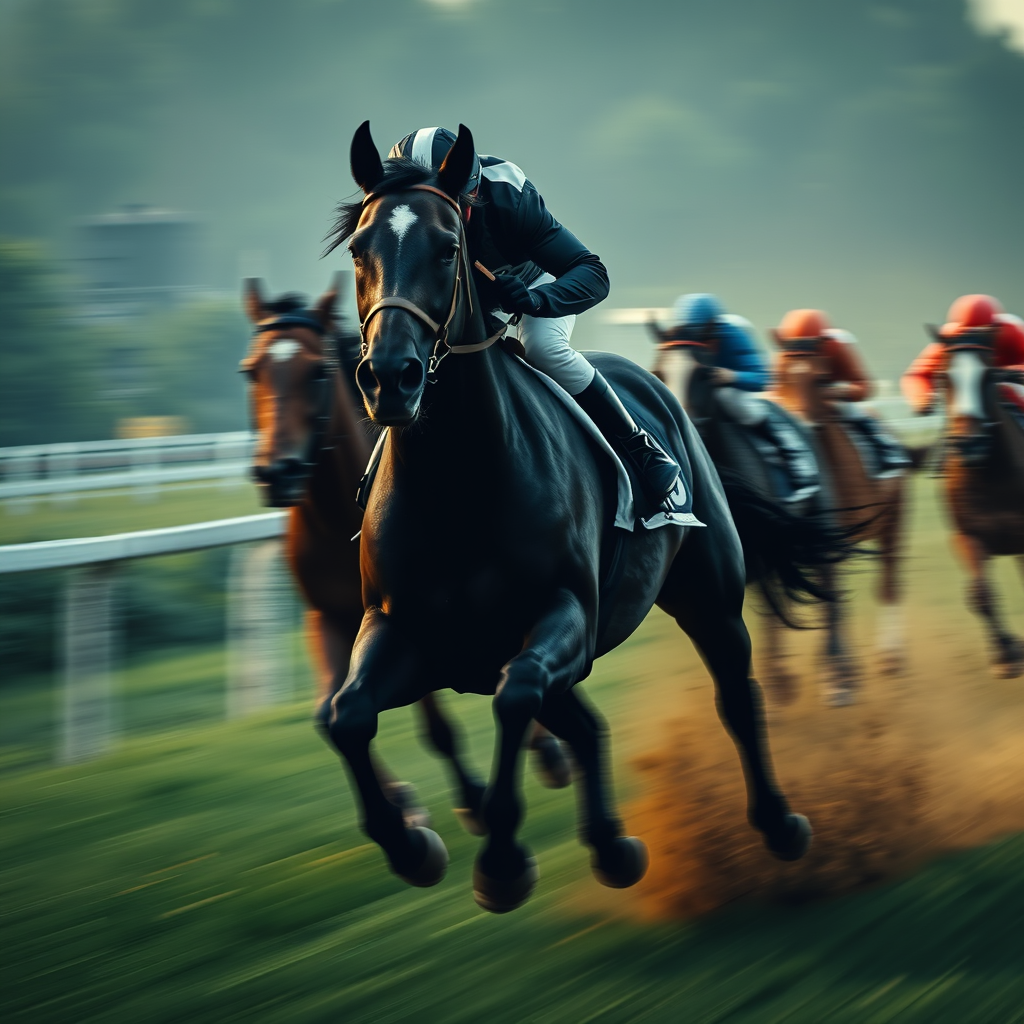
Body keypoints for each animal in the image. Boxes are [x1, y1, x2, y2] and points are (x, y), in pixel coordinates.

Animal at [650, 336, 863, 705]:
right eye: (658, 371)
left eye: (702, 373)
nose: (674, 421)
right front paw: (777, 682)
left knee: (829, 584)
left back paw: (839, 675)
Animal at [929, 327, 1024, 677]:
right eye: (943, 376)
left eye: (989, 376)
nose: (969, 443)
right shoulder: (967, 536)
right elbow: (979, 595)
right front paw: (1005, 653)